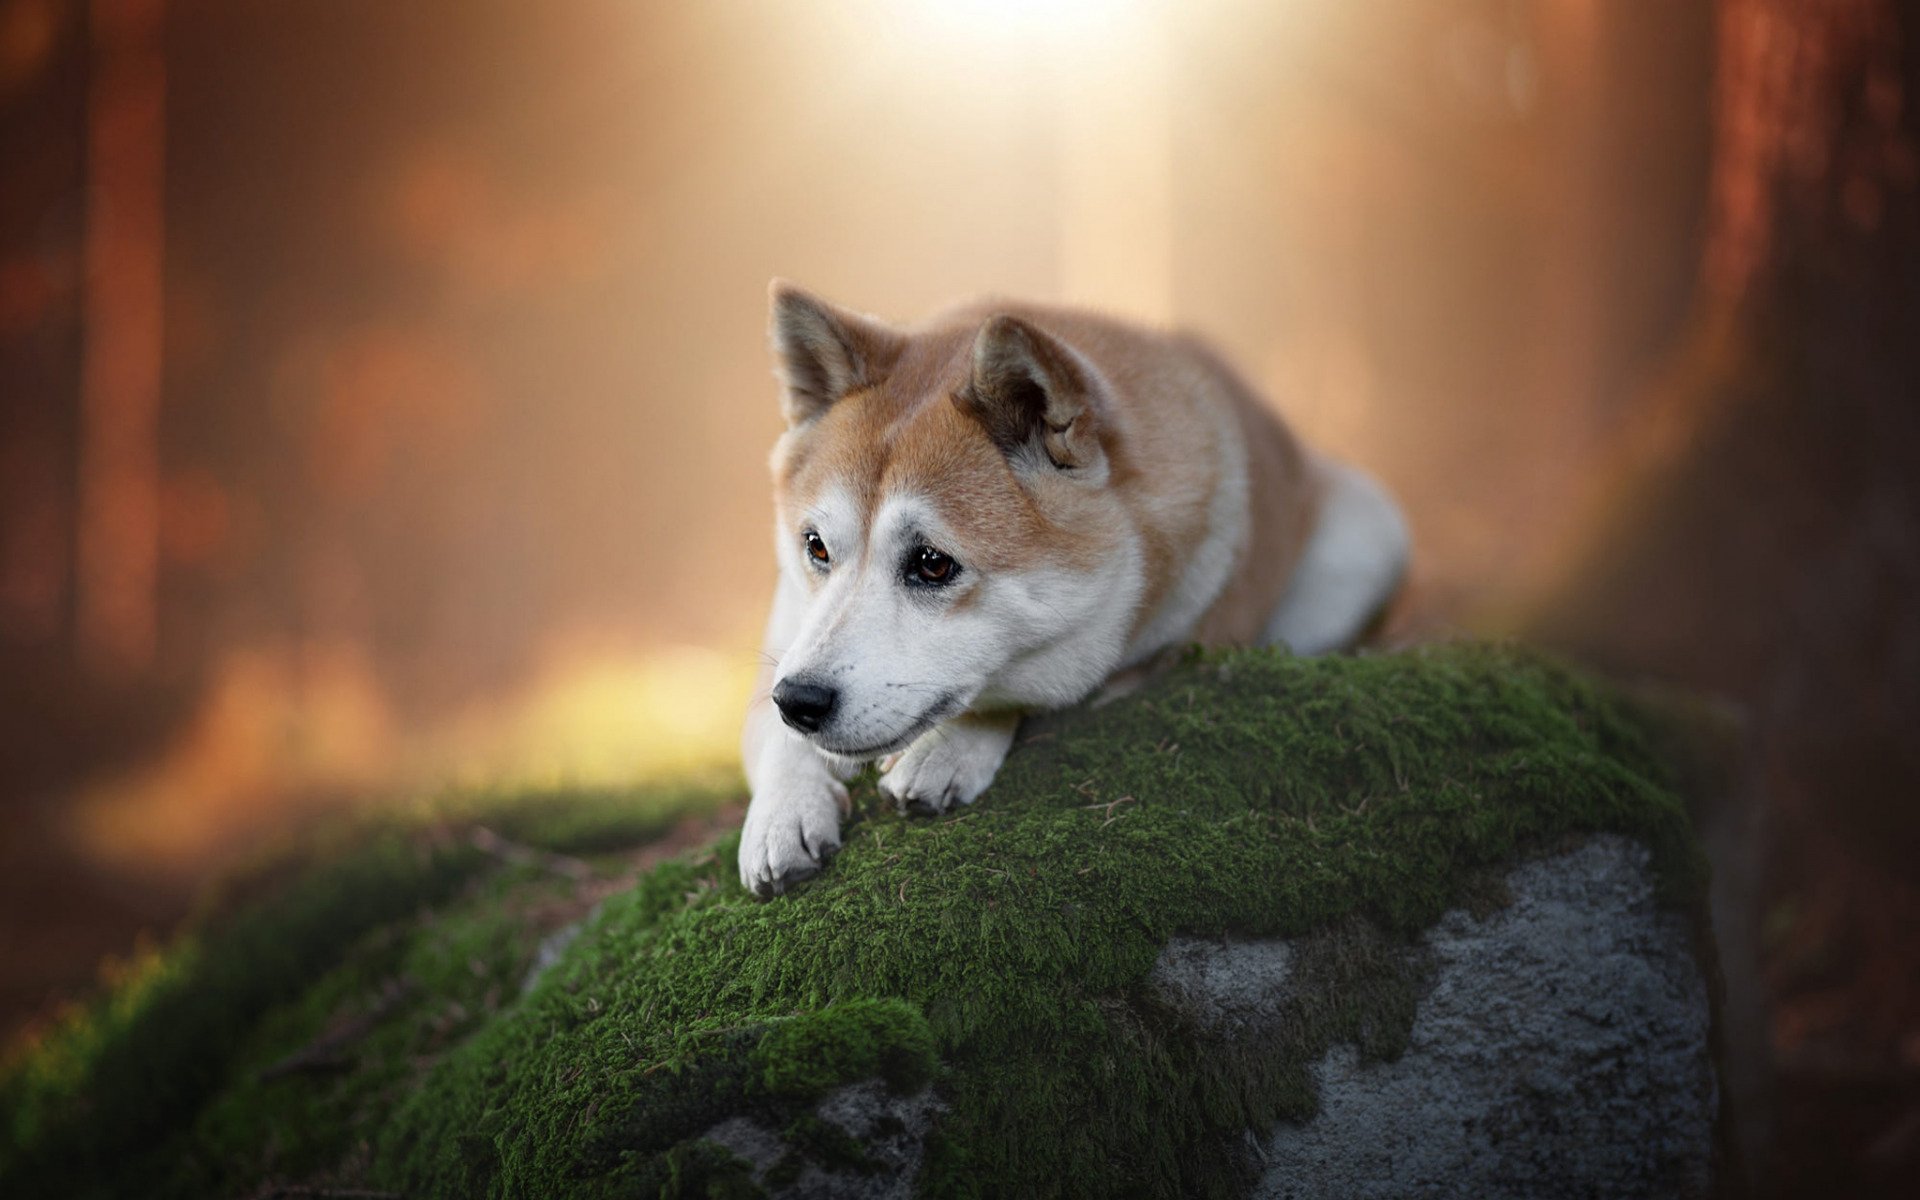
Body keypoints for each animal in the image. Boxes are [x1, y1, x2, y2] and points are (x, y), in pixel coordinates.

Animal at [733, 286, 1413, 894]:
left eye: (931, 563)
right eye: (816, 547)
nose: (801, 701)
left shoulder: (1158, 654)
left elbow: (1029, 692)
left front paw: (949, 748)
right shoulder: (786, 644)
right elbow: (776, 736)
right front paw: (783, 815)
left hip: (1365, 539)